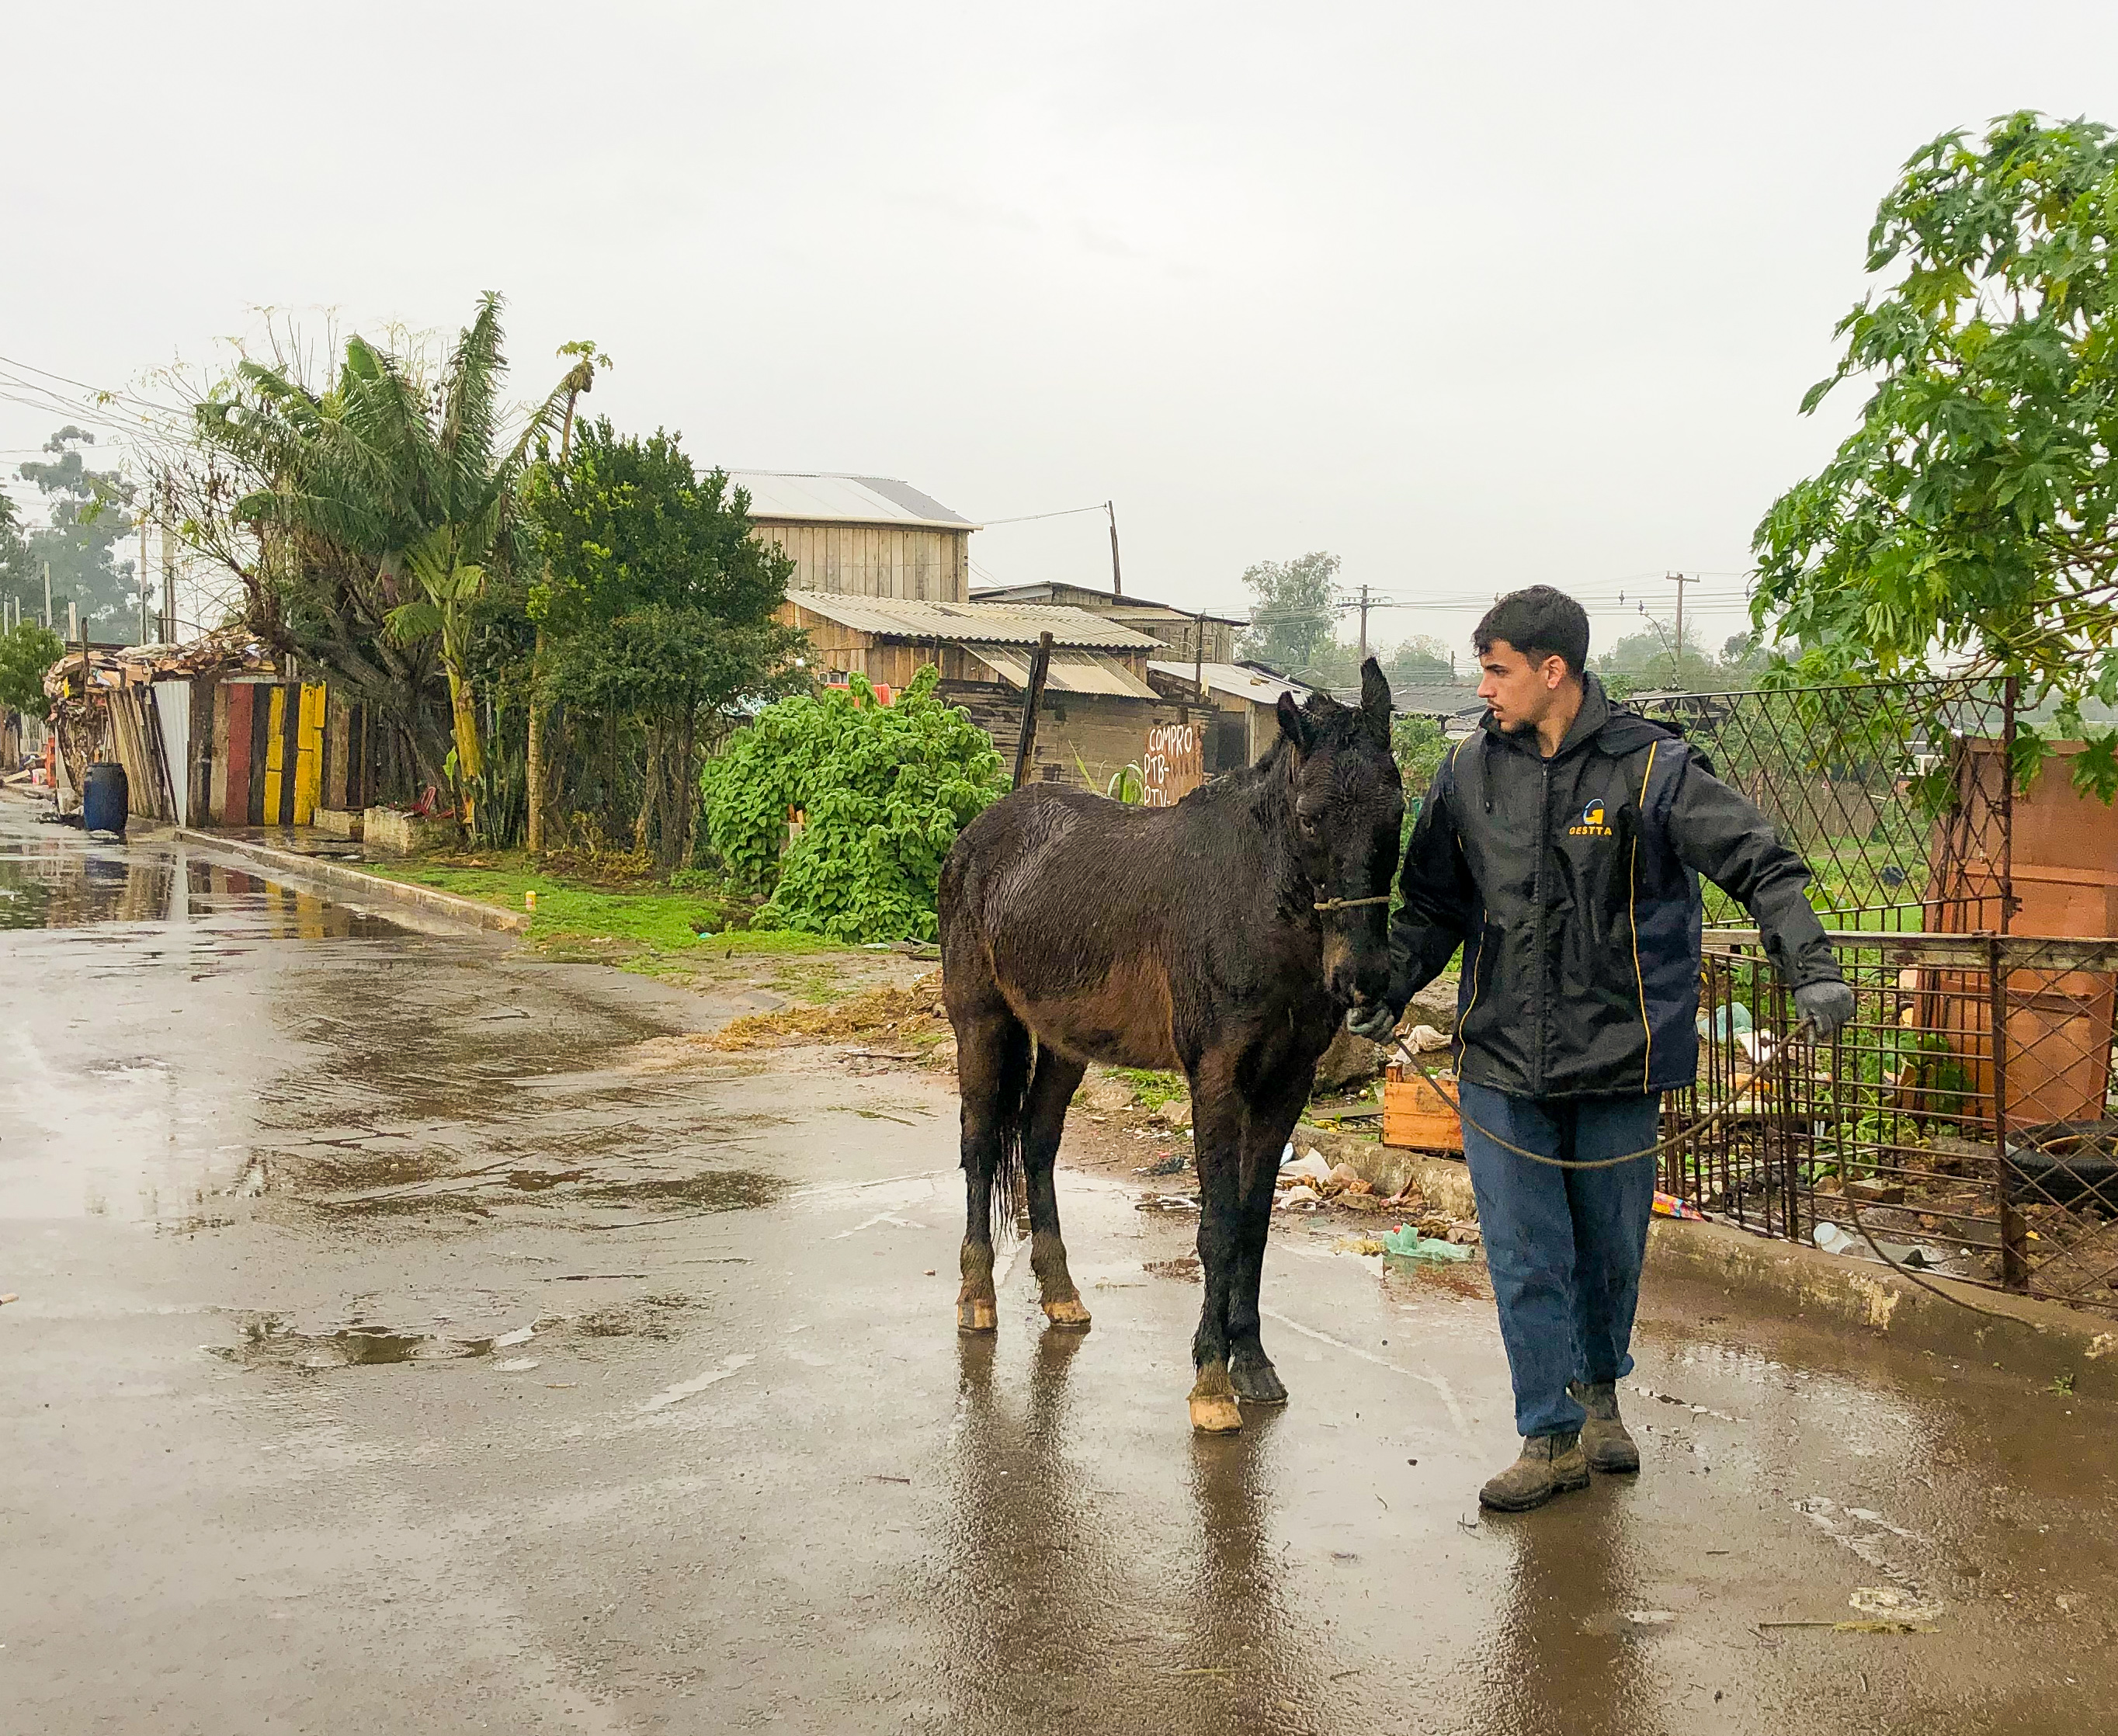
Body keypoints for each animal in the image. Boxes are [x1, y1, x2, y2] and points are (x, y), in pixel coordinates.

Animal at [944, 656, 1406, 1431]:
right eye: (1310, 817)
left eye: (1397, 813)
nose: (1363, 978)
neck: (1250, 901)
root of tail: (980, 834)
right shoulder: (1216, 1078)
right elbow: (1217, 1224)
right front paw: (1212, 1383)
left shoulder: (1287, 1084)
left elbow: (1253, 1223)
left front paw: (1252, 1363)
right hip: (981, 1023)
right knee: (981, 1147)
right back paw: (977, 1297)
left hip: (1065, 1045)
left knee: (1037, 1143)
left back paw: (1061, 1294)